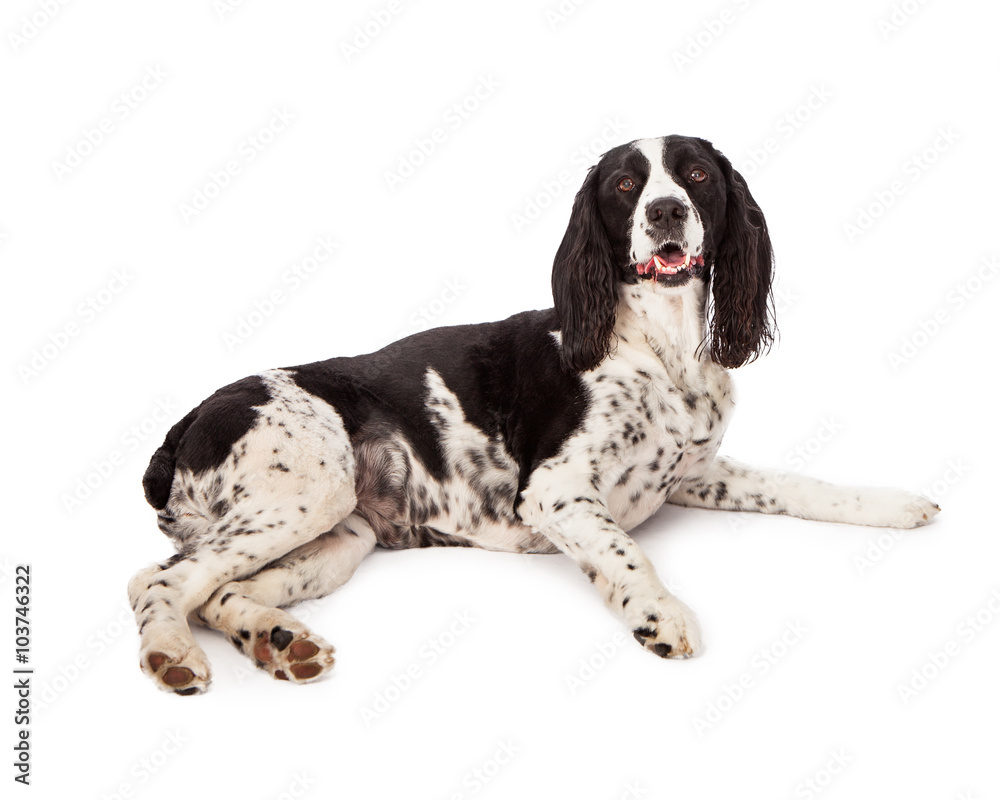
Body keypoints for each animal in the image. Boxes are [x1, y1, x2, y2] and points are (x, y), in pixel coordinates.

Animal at [127, 134, 936, 692]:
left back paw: (279, 643)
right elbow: (628, 552)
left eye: (697, 175)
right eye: (625, 184)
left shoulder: (690, 475)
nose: (666, 211)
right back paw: (172, 656)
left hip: (340, 534)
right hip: (307, 491)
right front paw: (660, 612)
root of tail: (185, 422)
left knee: (221, 591)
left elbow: (799, 485)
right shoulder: (557, 491)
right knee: (156, 582)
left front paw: (894, 503)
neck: (661, 350)